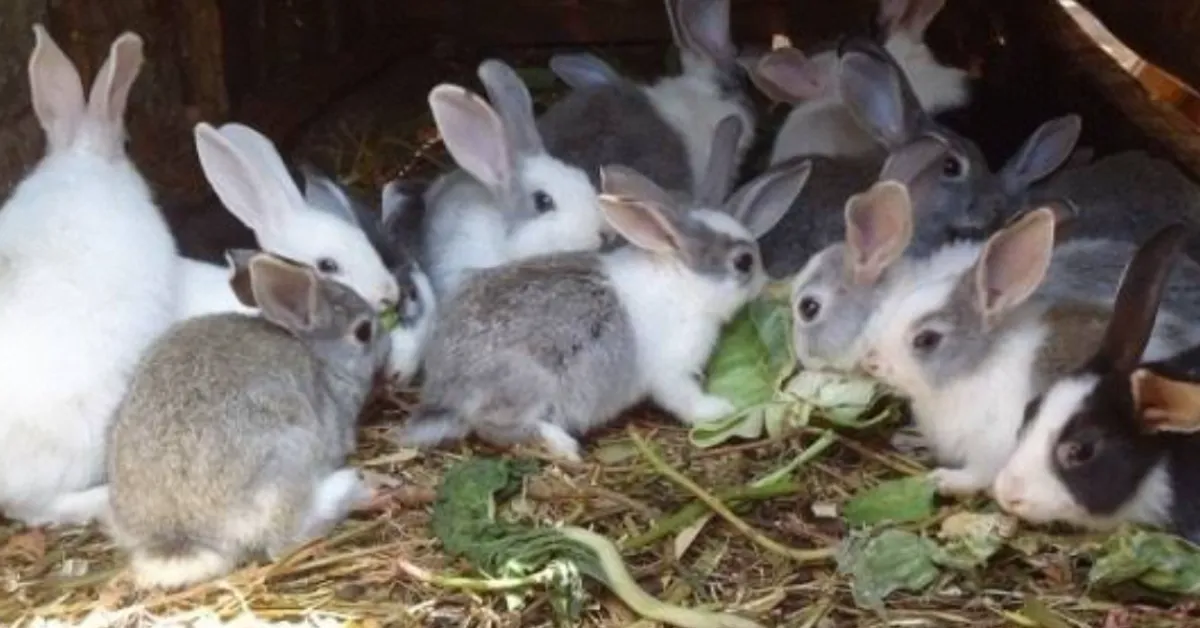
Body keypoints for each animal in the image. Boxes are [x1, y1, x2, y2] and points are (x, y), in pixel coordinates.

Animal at [107, 250, 390, 590]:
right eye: (363, 332)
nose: (387, 347)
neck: (316, 354)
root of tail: (180, 533)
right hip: (289, 457)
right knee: (286, 538)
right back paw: (356, 488)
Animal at [392, 140, 811, 461]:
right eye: (744, 263)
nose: (768, 283)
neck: (685, 280)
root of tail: (447, 391)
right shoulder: (672, 372)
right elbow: (685, 398)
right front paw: (722, 409)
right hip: (529, 383)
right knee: (496, 426)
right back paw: (563, 446)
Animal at [857, 210, 1200, 496]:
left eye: (926, 339)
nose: (871, 361)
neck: (974, 368)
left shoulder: (991, 450)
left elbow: (977, 475)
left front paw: (944, 480)